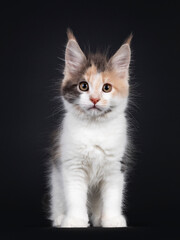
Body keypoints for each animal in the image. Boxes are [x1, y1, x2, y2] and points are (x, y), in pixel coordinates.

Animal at [49, 29, 132, 228]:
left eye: (106, 88)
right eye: (83, 86)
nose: (94, 99)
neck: (95, 128)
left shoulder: (115, 166)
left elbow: (113, 196)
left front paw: (112, 219)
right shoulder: (72, 165)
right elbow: (75, 196)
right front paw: (75, 220)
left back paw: (98, 217)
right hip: (56, 179)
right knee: (58, 199)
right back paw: (61, 217)